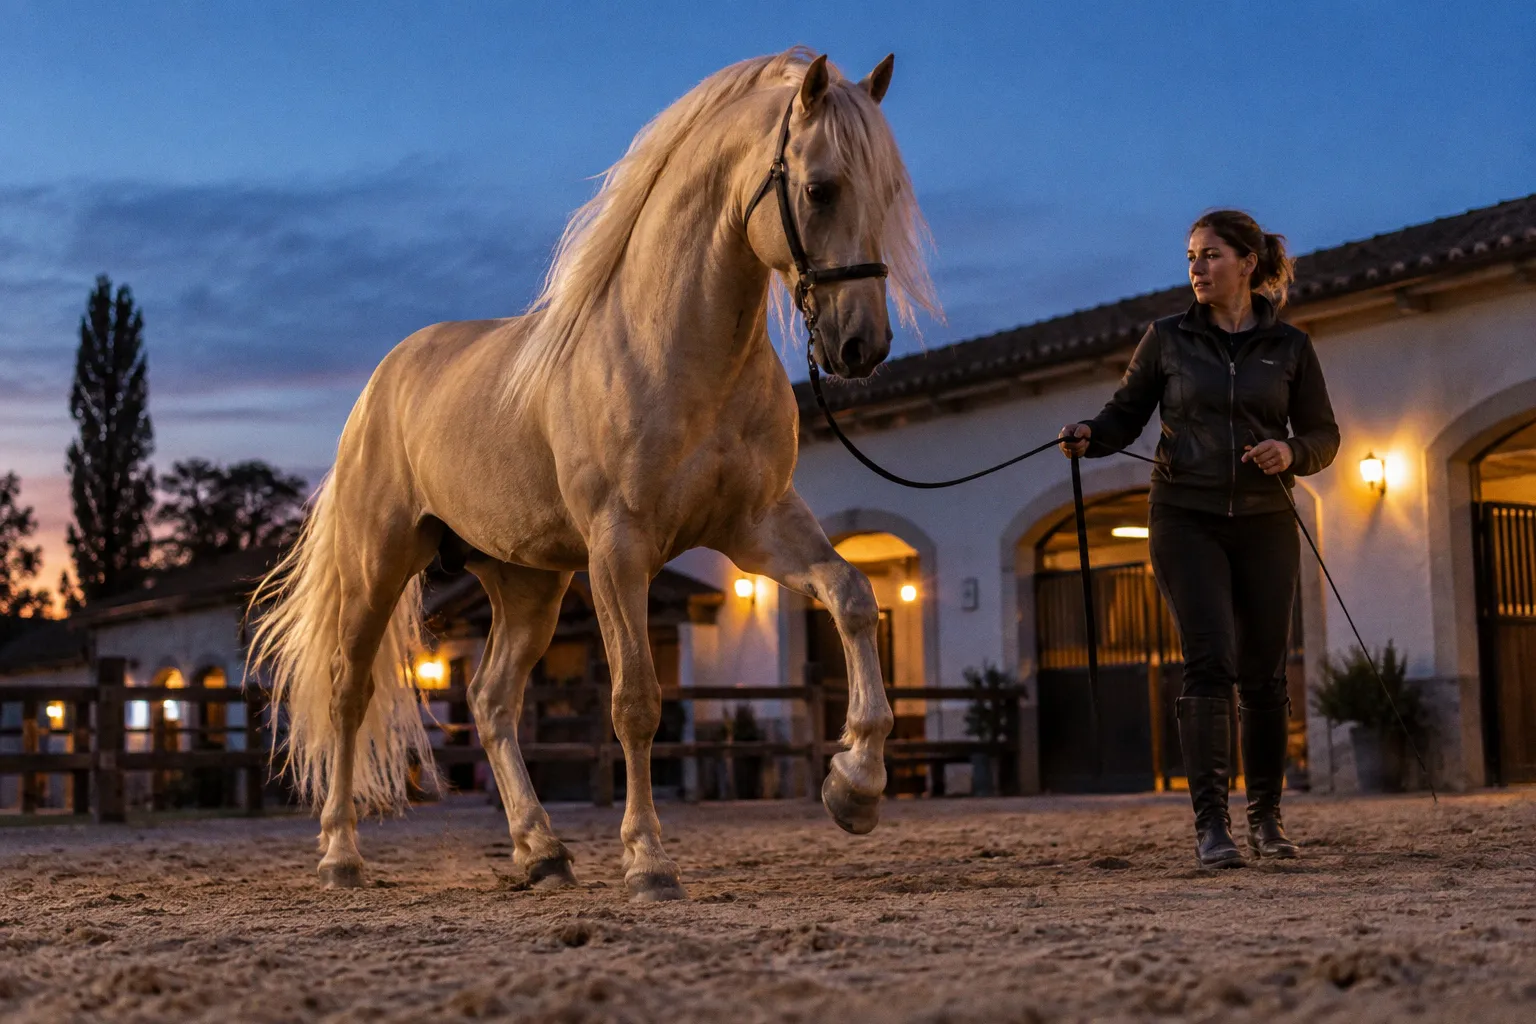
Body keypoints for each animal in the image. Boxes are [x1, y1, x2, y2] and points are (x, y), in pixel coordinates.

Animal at [247, 47, 940, 902]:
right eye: (820, 188)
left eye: (888, 193)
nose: (860, 347)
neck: (672, 349)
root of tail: (382, 380)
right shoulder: (620, 549)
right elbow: (636, 700)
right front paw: (647, 860)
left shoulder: (760, 527)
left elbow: (852, 597)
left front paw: (856, 787)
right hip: (382, 562)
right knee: (349, 689)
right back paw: (342, 855)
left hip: (527, 584)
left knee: (492, 701)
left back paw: (541, 850)